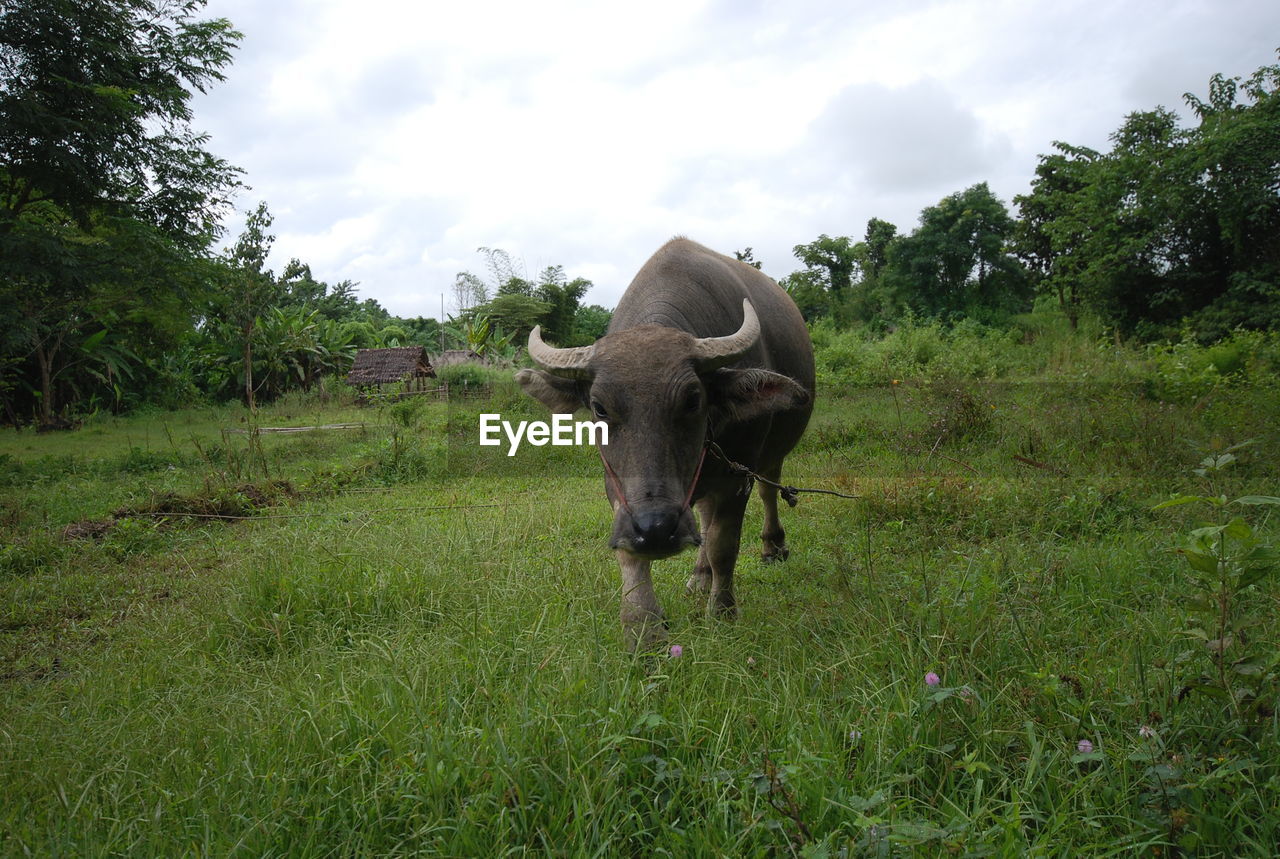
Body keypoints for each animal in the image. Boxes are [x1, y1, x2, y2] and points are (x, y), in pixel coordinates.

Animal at [514, 238, 814, 647]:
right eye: (599, 407)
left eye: (692, 400)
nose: (655, 528)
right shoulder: (618, 487)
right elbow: (631, 554)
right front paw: (643, 628)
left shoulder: (737, 478)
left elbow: (724, 546)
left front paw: (723, 613)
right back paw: (699, 578)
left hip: (767, 457)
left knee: (768, 491)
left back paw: (771, 547)